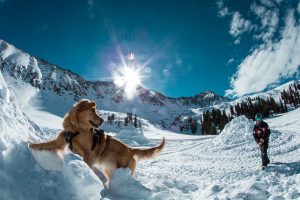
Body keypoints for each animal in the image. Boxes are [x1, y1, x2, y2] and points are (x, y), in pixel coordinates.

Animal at [29, 100, 165, 188]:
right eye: (93, 111)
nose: (103, 120)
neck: (76, 129)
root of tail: (131, 149)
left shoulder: (89, 154)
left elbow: (88, 163)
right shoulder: (60, 142)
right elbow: (44, 144)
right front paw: (30, 144)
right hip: (109, 169)